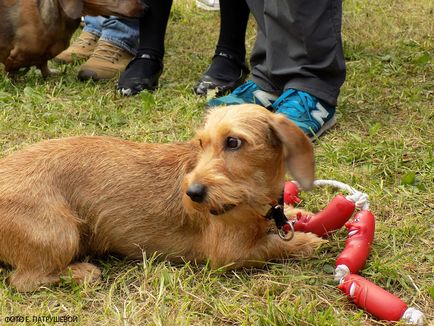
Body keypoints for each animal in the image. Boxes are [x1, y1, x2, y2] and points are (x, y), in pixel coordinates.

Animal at [0, 0, 146, 77]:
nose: (146, 7)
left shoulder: (43, 57)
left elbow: (44, 65)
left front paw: (50, 74)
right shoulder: (15, 56)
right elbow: (11, 71)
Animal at [0, 104, 322, 290]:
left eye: (233, 141)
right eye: (201, 143)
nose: (192, 193)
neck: (251, 199)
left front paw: (298, 216)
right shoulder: (229, 255)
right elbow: (273, 246)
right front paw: (306, 242)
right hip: (61, 233)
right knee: (23, 281)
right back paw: (81, 273)